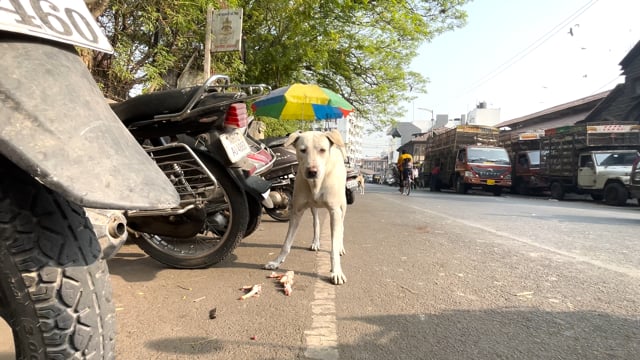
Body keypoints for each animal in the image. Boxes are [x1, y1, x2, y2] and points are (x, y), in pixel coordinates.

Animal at [264, 129, 348, 284]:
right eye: (302, 150)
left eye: (322, 150)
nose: (312, 171)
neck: (316, 183)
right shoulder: (296, 211)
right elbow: (286, 243)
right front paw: (277, 261)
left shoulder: (334, 211)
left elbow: (333, 246)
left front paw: (336, 271)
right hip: (313, 206)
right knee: (316, 222)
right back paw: (315, 242)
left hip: (343, 204)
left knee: (342, 225)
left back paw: (340, 247)